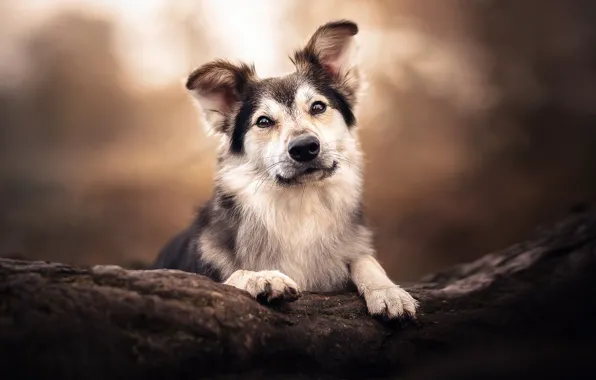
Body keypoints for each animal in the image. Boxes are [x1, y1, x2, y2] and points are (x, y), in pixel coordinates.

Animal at [154, 19, 420, 320]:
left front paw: (387, 291)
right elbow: (234, 275)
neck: (299, 205)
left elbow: (365, 258)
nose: (304, 147)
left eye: (318, 106)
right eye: (264, 121)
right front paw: (262, 277)